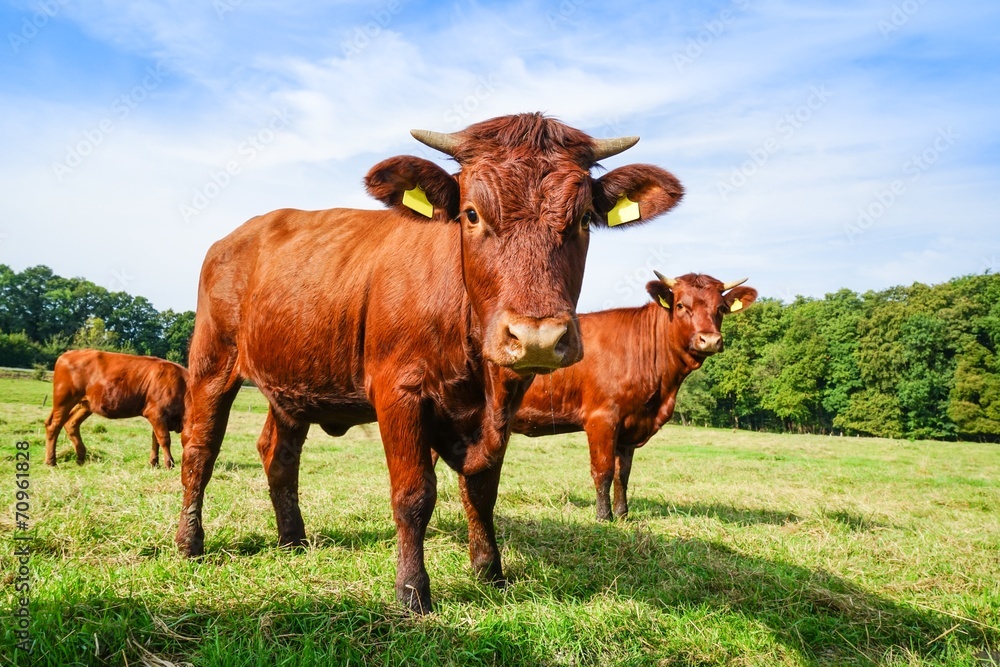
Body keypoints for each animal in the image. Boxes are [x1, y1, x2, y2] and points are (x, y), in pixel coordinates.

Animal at [43, 350, 188, 470]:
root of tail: (67, 354)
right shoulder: (156, 413)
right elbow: (164, 439)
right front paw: (169, 464)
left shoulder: (158, 418)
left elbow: (155, 440)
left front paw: (154, 463)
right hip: (64, 400)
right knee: (54, 425)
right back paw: (51, 461)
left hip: (85, 404)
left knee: (71, 423)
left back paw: (80, 458)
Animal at [176, 112, 684, 612]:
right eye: (472, 214)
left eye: (582, 219)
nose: (537, 338)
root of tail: (238, 234)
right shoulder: (399, 393)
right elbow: (414, 494)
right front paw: (412, 590)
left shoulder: (500, 409)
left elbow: (482, 491)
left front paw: (490, 572)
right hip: (212, 363)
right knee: (200, 449)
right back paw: (189, 542)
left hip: (292, 385)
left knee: (278, 454)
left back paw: (293, 539)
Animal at [516, 272, 756, 520]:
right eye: (680, 305)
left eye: (721, 308)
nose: (709, 340)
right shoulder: (601, 419)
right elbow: (603, 471)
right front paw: (604, 517)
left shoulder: (630, 425)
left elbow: (623, 474)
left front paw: (622, 514)